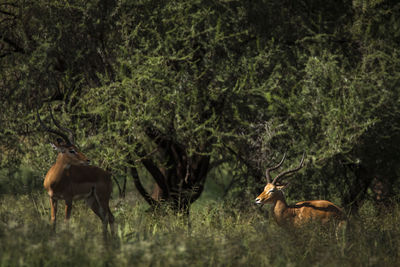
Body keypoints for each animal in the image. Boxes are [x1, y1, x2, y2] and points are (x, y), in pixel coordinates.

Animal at [37, 109, 114, 239]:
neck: (55, 182)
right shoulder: (52, 198)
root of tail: (107, 175)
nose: (87, 160)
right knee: (106, 218)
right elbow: (53, 220)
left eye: (76, 147)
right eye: (71, 150)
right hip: (91, 200)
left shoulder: (69, 199)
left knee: (108, 217)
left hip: (102, 198)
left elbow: (66, 222)